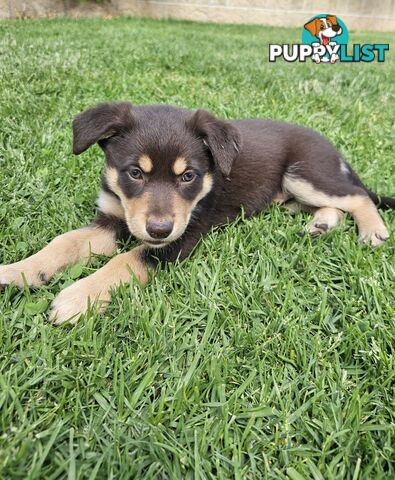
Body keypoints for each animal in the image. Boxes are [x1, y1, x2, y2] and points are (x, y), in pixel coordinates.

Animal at [0, 102, 395, 324]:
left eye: (188, 176)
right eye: (134, 173)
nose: (159, 229)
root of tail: (333, 149)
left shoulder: (183, 237)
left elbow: (126, 260)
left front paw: (78, 297)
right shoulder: (112, 221)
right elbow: (63, 242)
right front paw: (18, 272)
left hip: (304, 173)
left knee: (358, 196)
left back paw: (373, 231)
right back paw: (321, 223)